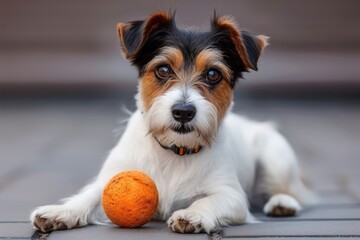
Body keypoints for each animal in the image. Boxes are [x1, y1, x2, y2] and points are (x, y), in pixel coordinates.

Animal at [31, 11, 318, 234]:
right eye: (163, 69)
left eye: (213, 74)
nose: (183, 112)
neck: (175, 150)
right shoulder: (110, 178)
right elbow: (88, 195)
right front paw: (60, 212)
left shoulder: (232, 196)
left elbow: (209, 201)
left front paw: (192, 215)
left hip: (276, 154)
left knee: (290, 190)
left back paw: (282, 203)